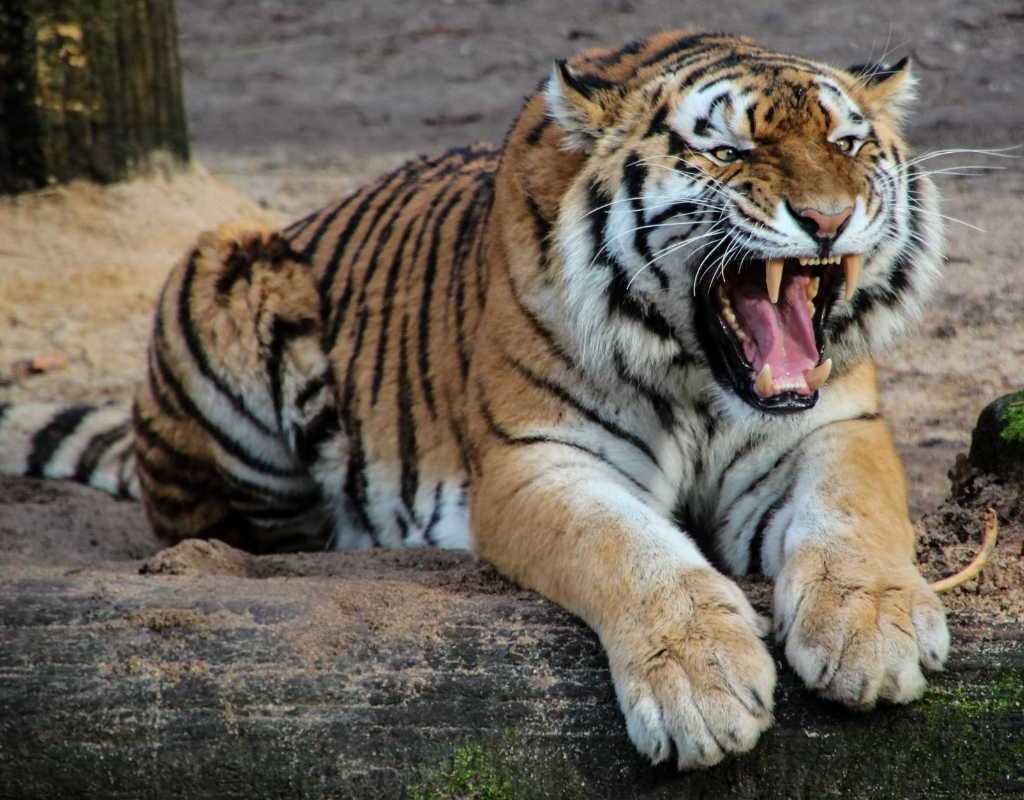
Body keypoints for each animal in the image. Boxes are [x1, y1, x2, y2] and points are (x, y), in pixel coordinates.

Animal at [0, 29, 950, 769]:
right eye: (728, 152)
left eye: (849, 146)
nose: (827, 219)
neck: (698, 377)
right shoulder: (538, 460)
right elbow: (632, 551)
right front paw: (701, 685)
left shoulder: (833, 427)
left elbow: (855, 514)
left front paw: (873, 632)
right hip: (225, 264)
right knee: (223, 527)